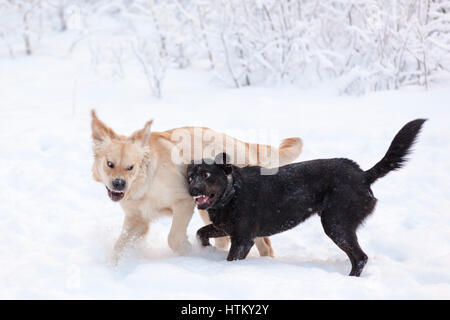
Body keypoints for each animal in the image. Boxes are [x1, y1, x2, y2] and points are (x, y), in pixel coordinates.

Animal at [90, 110, 302, 264]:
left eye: (130, 167)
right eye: (109, 164)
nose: (119, 184)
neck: (145, 182)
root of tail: (245, 144)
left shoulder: (183, 202)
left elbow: (173, 238)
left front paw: (189, 251)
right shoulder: (137, 219)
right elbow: (119, 247)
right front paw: (114, 266)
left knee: (262, 244)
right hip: (209, 209)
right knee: (233, 240)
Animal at [186, 119, 426, 276]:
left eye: (206, 175)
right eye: (190, 176)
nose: (193, 190)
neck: (232, 192)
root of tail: (364, 175)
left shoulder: (243, 240)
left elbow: (230, 259)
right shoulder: (226, 228)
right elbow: (201, 233)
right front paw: (206, 250)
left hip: (336, 224)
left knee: (360, 257)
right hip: (339, 226)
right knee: (357, 257)